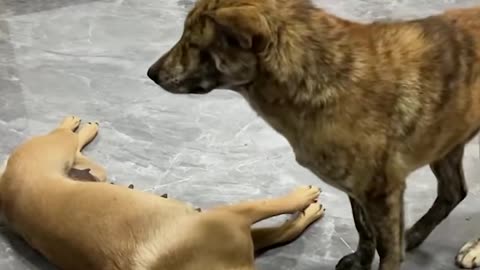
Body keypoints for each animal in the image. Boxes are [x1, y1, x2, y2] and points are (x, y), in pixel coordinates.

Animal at [0, 116, 326, 270]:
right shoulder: (232, 216)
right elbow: (272, 206)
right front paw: (304, 198)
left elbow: (285, 230)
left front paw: (308, 212)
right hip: (56, 150)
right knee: (64, 135)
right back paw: (76, 125)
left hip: (80, 165)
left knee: (76, 145)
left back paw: (83, 129)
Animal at [146, 1, 480, 268]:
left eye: (193, 43)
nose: (151, 73)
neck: (322, 74)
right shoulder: (358, 188)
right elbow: (363, 228)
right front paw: (361, 259)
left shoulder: (382, 193)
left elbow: (388, 252)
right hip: (447, 141)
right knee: (454, 191)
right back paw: (415, 234)